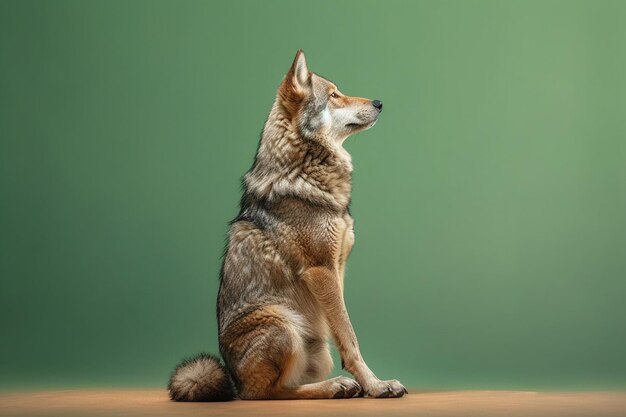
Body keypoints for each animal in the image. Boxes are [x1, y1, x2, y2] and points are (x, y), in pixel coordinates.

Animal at [168, 51, 408, 400]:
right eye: (333, 95)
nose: (379, 103)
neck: (304, 168)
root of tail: (233, 380)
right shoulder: (321, 269)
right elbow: (350, 338)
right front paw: (376, 386)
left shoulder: (337, 270)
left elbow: (343, 327)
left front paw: (368, 385)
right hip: (283, 321)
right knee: (267, 393)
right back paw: (335, 386)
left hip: (316, 346)